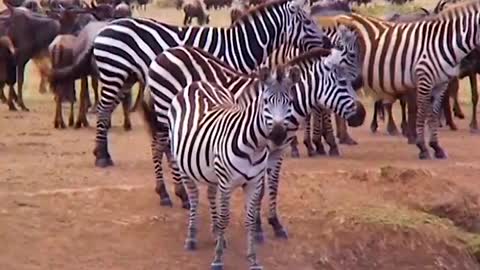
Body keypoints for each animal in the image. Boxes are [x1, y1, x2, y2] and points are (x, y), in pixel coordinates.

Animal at [87, 0, 334, 169]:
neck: (238, 46)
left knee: (107, 111)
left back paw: (103, 154)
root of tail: (105, 28)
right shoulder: (222, 80)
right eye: (308, 22)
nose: (328, 43)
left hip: (124, 77)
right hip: (113, 73)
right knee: (103, 110)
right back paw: (101, 157)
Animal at [141, 44, 366, 240]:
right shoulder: (260, 149)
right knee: (161, 147)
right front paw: (257, 228)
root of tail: (165, 53)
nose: (362, 115)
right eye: (342, 83)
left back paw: (179, 194)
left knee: (164, 148)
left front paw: (275, 223)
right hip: (164, 111)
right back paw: (169, 194)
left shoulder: (278, 150)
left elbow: (273, 186)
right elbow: (260, 189)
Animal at [167, 66, 298, 270]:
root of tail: (198, 83)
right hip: (183, 164)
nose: (278, 135)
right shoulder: (226, 183)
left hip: (211, 170)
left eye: (290, 102)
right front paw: (218, 259)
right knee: (194, 197)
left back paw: (215, 234)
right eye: (266, 102)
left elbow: (250, 220)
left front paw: (253, 260)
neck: (254, 146)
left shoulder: (253, 183)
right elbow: (225, 219)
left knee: (210, 194)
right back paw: (191, 237)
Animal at [312, 0, 480, 158]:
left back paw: (341, 139)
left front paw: (436, 147)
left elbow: (432, 113)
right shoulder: (423, 78)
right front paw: (422, 147)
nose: (471, 62)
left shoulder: (441, 84)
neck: (443, 42)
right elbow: (419, 111)